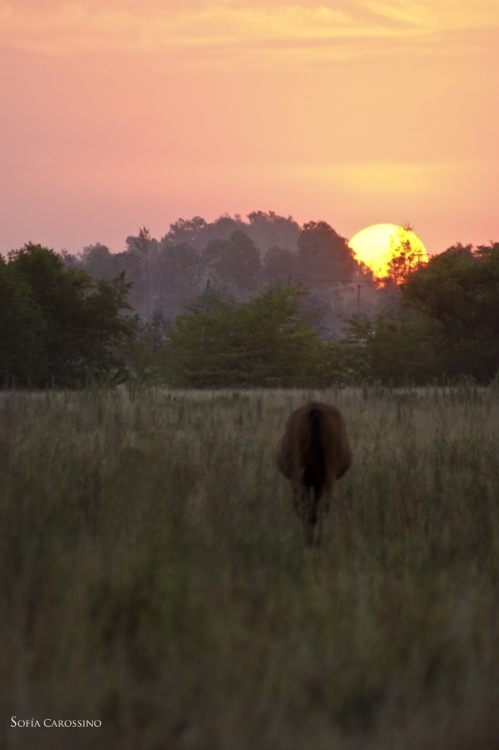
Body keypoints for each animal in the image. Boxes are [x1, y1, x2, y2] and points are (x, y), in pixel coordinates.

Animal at [278, 406, 352, 548]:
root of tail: (316, 409)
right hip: (325, 478)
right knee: (321, 507)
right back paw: (316, 540)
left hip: (304, 479)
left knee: (306, 507)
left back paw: (311, 539)